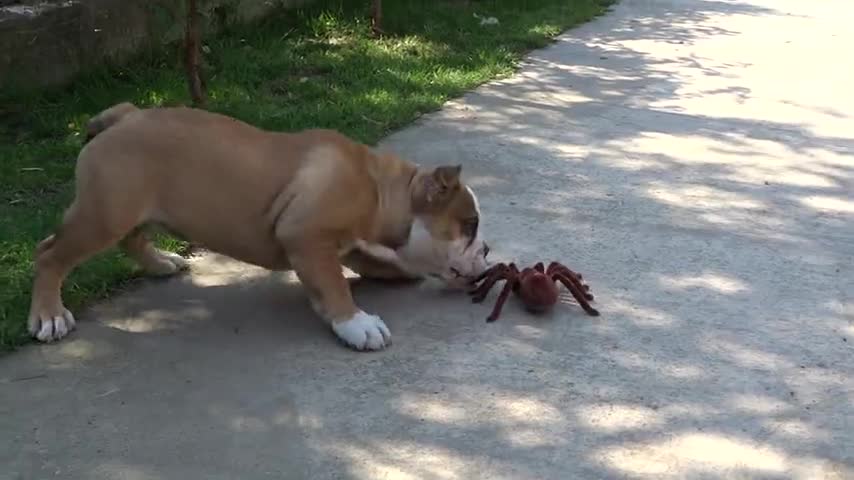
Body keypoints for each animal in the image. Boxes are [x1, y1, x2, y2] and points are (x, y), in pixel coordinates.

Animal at [26, 102, 492, 348]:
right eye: (469, 225)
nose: (487, 250)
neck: (381, 189)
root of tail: (124, 115)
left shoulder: (350, 245)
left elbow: (374, 265)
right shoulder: (306, 236)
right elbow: (334, 284)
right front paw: (356, 323)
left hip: (128, 208)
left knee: (132, 240)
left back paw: (161, 263)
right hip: (104, 213)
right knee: (49, 253)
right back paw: (49, 316)